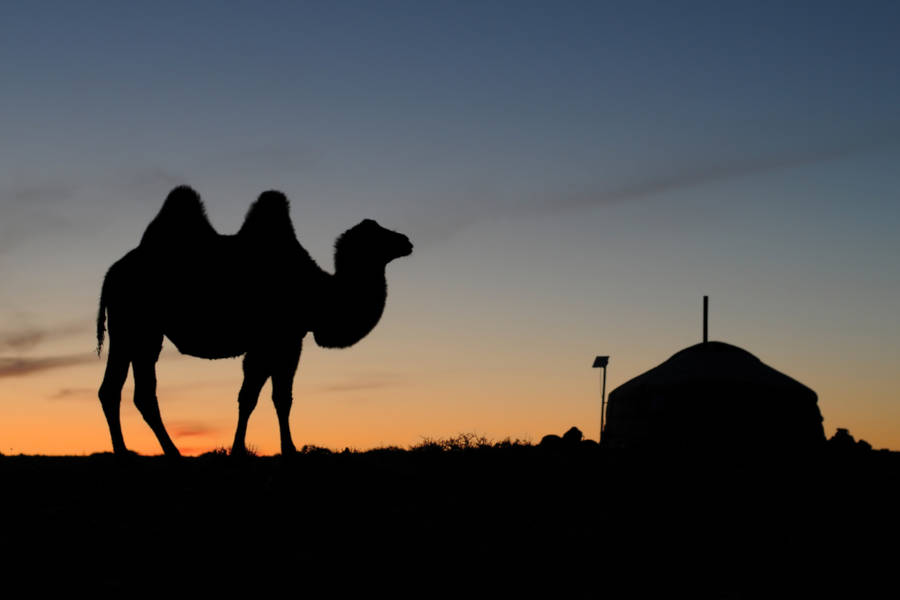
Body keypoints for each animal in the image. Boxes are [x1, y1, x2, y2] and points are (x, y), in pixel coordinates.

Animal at [96, 185, 413, 457]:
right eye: (376, 234)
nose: (407, 241)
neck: (318, 292)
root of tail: (111, 274)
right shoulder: (282, 339)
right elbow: (269, 397)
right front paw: (278, 450)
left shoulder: (274, 342)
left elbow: (262, 397)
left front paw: (259, 449)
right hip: (136, 326)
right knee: (128, 390)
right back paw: (147, 453)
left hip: (136, 332)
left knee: (125, 391)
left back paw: (146, 451)